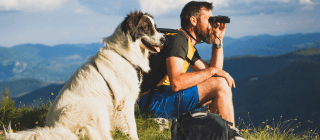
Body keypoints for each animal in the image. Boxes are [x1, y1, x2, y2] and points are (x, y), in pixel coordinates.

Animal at [3, 11, 165, 140]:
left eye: (155, 27)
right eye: (147, 28)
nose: (164, 39)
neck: (124, 54)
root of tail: (55, 128)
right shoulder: (126, 101)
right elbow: (132, 127)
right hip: (95, 106)